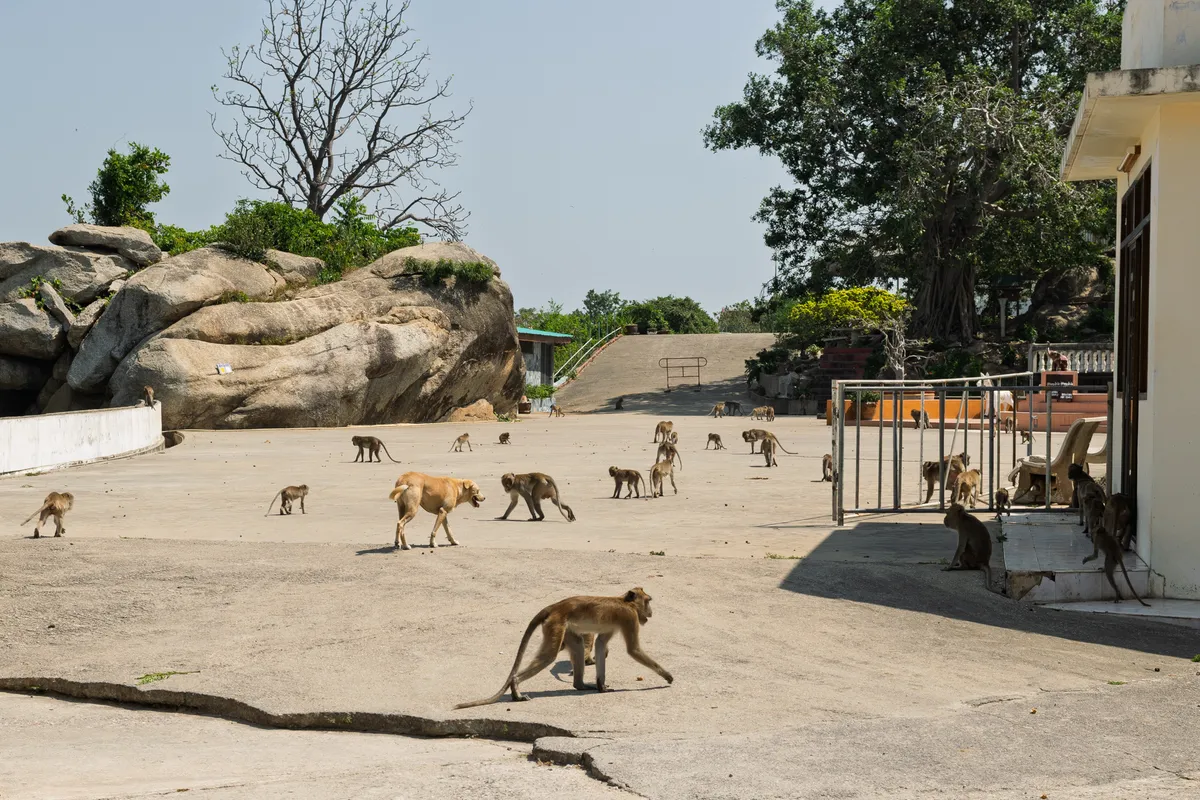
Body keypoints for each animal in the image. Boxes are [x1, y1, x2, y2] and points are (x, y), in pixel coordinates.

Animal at [453, 588, 672, 708]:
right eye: (648, 601)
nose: (651, 612)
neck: (625, 602)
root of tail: (554, 607)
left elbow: (601, 645)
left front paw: (601, 685)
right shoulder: (629, 618)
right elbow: (633, 650)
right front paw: (667, 676)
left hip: (563, 628)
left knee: (577, 646)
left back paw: (580, 685)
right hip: (556, 625)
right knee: (549, 656)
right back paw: (516, 688)